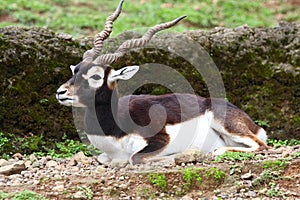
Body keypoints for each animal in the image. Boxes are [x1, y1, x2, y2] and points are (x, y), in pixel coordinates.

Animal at [56, 0, 270, 165]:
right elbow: (104, 158)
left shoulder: (160, 139)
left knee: (261, 146)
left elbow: (134, 158)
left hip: (225, 124)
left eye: (95, 76)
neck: (115, 129)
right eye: (75, 70)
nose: (61, 92)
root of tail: (252, 123)